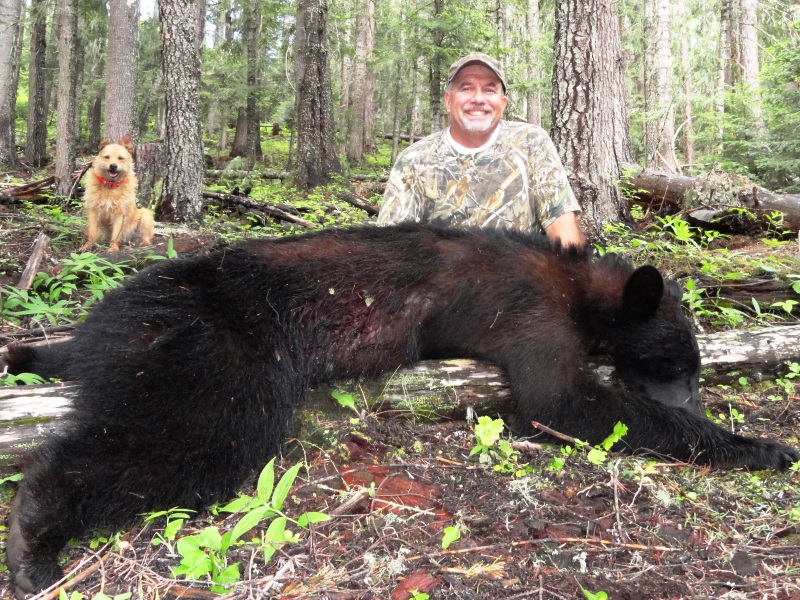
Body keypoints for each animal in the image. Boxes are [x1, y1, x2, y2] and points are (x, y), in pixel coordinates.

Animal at [5, 224, 798, 595]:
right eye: (676, 368)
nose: (698, 390)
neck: (582, 290)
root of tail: (108, 317)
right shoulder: (532, 318)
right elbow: (561, 399)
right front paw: (759, 444)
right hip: (216, 354)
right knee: (184, 443)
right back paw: (36, 541)